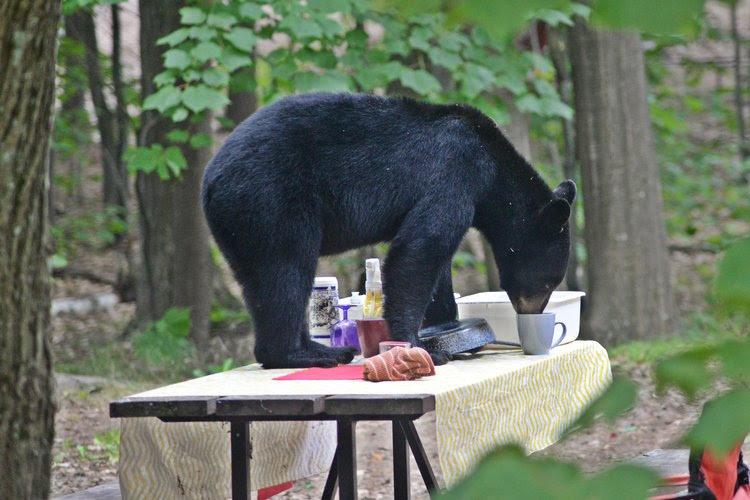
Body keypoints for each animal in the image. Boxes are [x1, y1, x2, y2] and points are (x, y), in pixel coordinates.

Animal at [201, 92, 576, 369]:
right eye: (548, 282)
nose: (532, 313)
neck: (494, 171)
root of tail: (210, 181)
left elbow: (435, 262)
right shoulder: (454, 173)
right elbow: (420, 248)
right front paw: (421, 346)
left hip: (243, 223)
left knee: (262, 283)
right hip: (270, 200)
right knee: (286, 269)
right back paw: (311, 354)